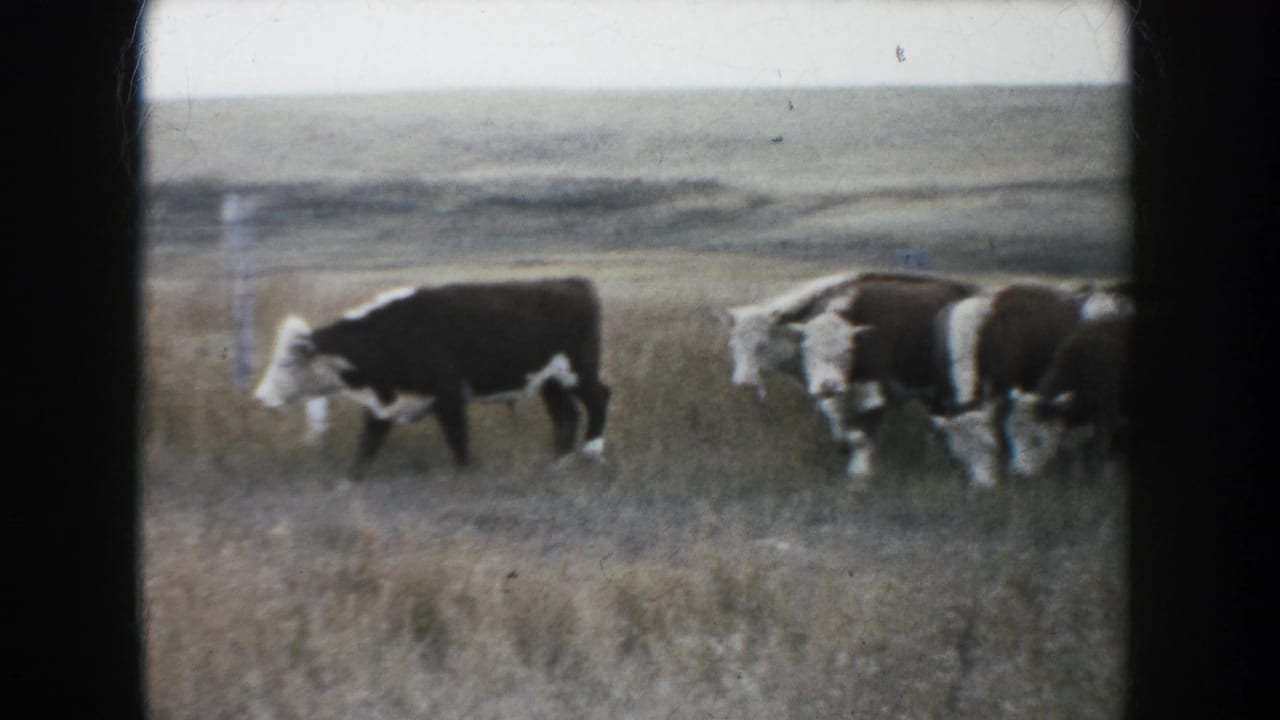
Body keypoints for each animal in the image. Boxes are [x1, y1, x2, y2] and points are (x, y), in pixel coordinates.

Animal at [252, 277, 611, 479]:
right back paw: (559, 461)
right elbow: (367, 445)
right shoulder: (383, 405)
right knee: (566, 415)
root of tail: (573, 283)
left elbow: (458, 441)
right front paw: (351, 478)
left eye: (287, 362)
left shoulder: (449, 397)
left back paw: (591, 452)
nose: (261, 398)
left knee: (599, 398)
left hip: (577, 372)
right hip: (550, 383)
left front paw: (466, 472)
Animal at [783, 274, 980, 481]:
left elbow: (860, 436)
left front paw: (859, 472)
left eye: (848, 350)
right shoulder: (835, 402)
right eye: (806, 348)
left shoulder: (874, 392)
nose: (828, 386)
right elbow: (841, 430)